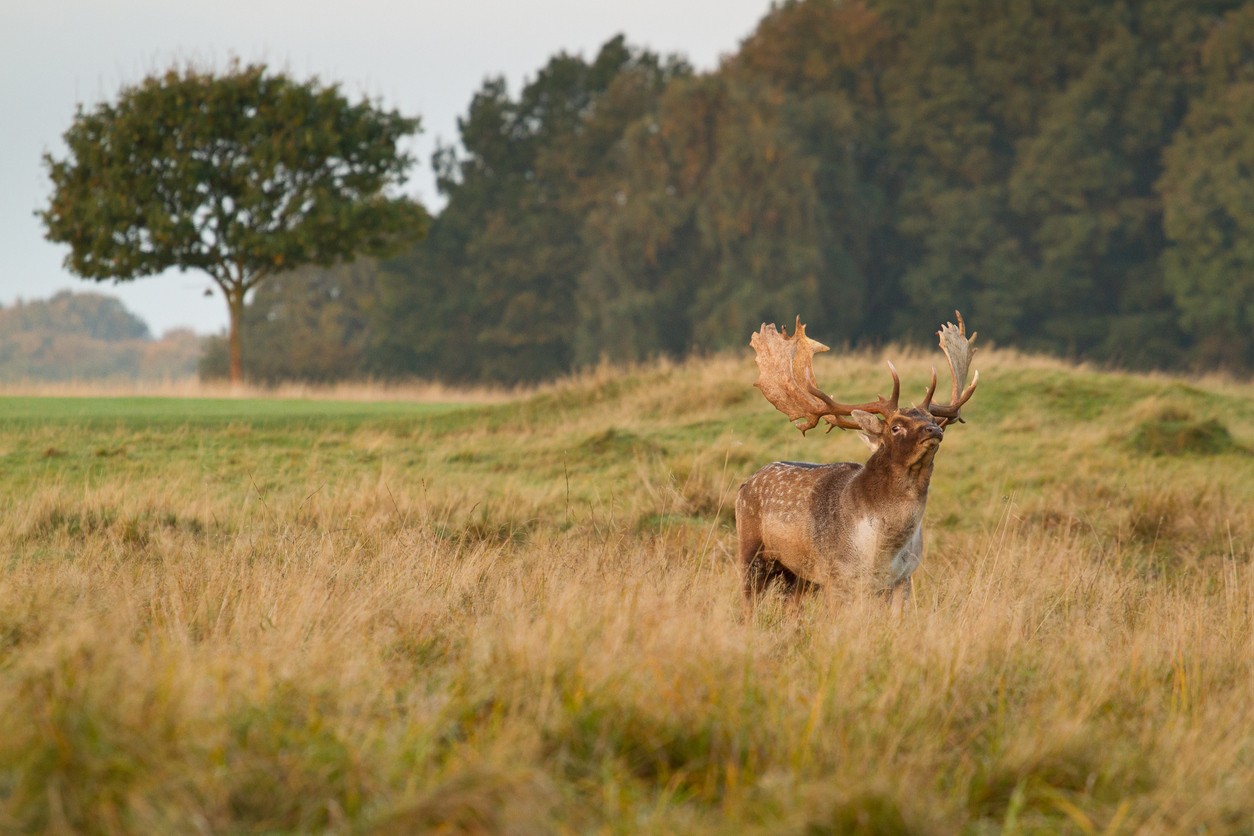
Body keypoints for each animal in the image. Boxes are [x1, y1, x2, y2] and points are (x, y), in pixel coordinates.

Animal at [735, 312, 978, 616]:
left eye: (932, 419)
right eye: (896, 427)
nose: (934, 430)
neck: (882, 548)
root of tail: (745, 484)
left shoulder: (904, 577)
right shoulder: (836, 575)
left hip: (798, 575)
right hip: (750, 552)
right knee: (747, 605)